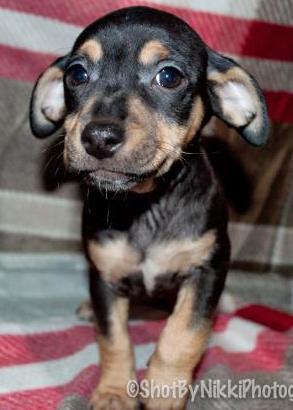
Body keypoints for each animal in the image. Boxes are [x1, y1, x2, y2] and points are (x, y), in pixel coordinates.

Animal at [29, 6, 266, 410]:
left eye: (168, 76)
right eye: (76, 74)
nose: (98, 137)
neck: (146, 205)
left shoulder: (206, 271)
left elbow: (182, 336)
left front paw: (163, 390)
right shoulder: (104, 276)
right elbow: (113, 340)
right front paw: (114, 393)